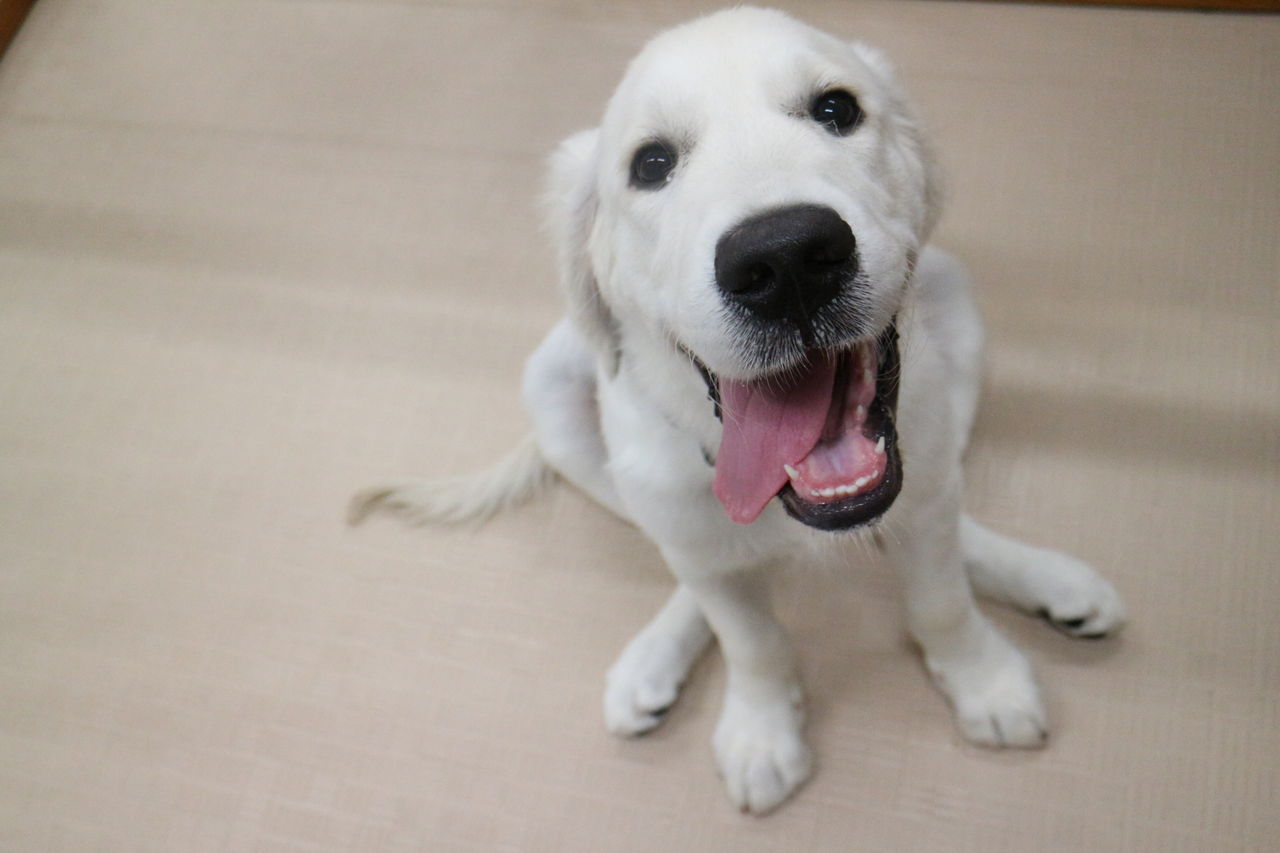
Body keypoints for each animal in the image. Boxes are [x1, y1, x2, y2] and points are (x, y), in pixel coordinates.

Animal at [351, 7, 1126, 814]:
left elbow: (940, 601)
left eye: (836, 109)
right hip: (561, 401)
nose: (786, 258)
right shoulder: (705, 551)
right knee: (694, 565)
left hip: (957, 307)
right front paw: (761, 731)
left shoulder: (923, 492)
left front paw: (984, 681)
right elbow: (752, 641)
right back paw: (653, 659)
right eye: (651, 163)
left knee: (938, 508)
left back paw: (1050, 579)